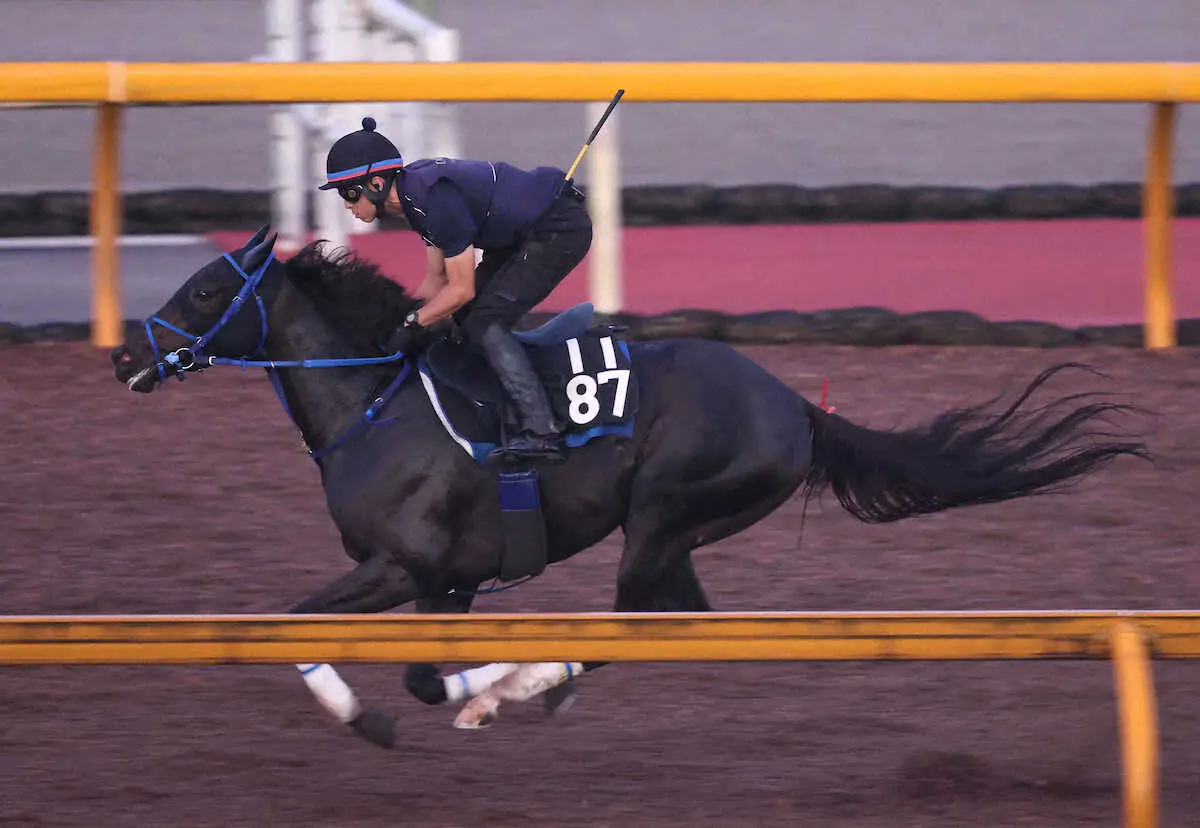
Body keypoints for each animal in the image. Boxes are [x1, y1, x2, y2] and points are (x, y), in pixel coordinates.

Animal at [114, 230, 1152, 744]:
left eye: (204, 291)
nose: (126, 355)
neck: (374, 402)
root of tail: (792, 403)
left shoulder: (401, 566)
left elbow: (307, 628)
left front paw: (384, 714)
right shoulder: (442, 581)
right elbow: (418, 673)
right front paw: (447, 697)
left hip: (659, 515)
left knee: (628, 624)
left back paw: (522, 689)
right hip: (678, 537)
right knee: (675, 622)